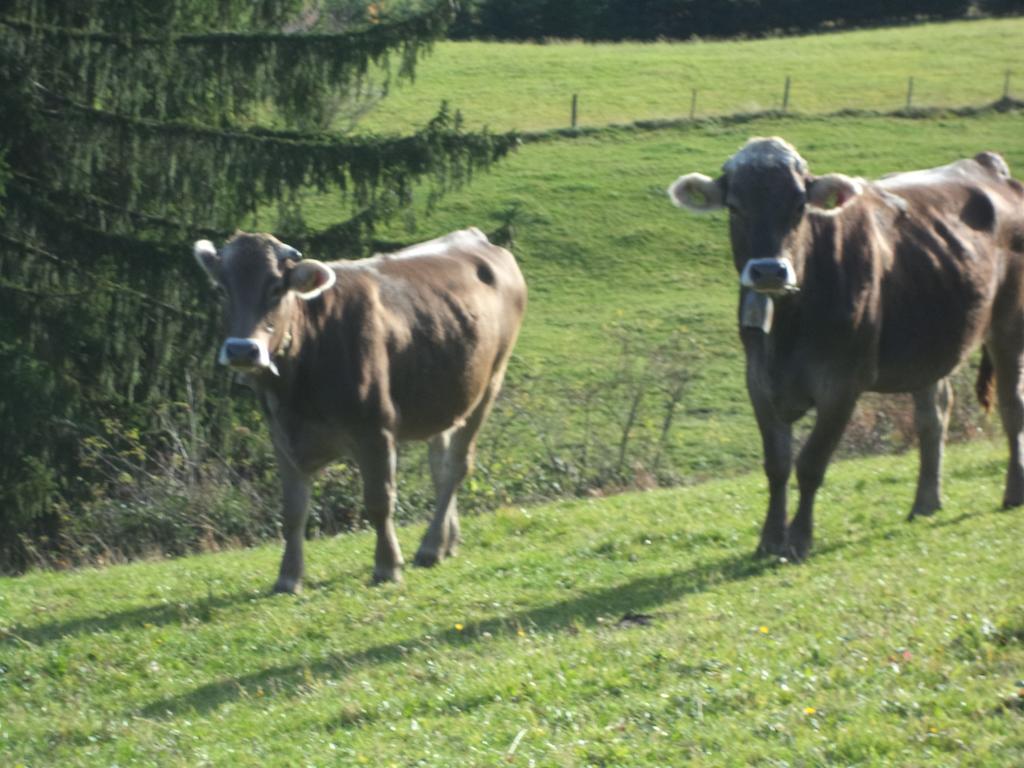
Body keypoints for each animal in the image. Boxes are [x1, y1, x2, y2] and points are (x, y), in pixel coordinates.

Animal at [193, 231, 528, 593]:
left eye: (276, 288)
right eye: (221, 289)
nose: (242, 350)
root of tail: (475, 237)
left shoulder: (375, 431)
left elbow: (379, 501)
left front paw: (387, 566)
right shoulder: (282, 437)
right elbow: (293, 510)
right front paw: (288, 577)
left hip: (490, 382)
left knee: (456, 466)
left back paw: (430, 546)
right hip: (444, 393)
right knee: (439, 468)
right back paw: (446, 543)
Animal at [667, 137, 1024, 561]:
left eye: (799, 206)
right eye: (735, 206)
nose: (769, 271)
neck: (789, 327)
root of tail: (986, 165)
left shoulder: (842, 384)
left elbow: (810, 463)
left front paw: (799, 540)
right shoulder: (759, 381)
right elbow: (776, 464)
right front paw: (769, 540)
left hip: (1009, 326)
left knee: (1011, 407)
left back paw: (1013, 493)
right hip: (931, 341)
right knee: (934, 415)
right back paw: (925, 502)